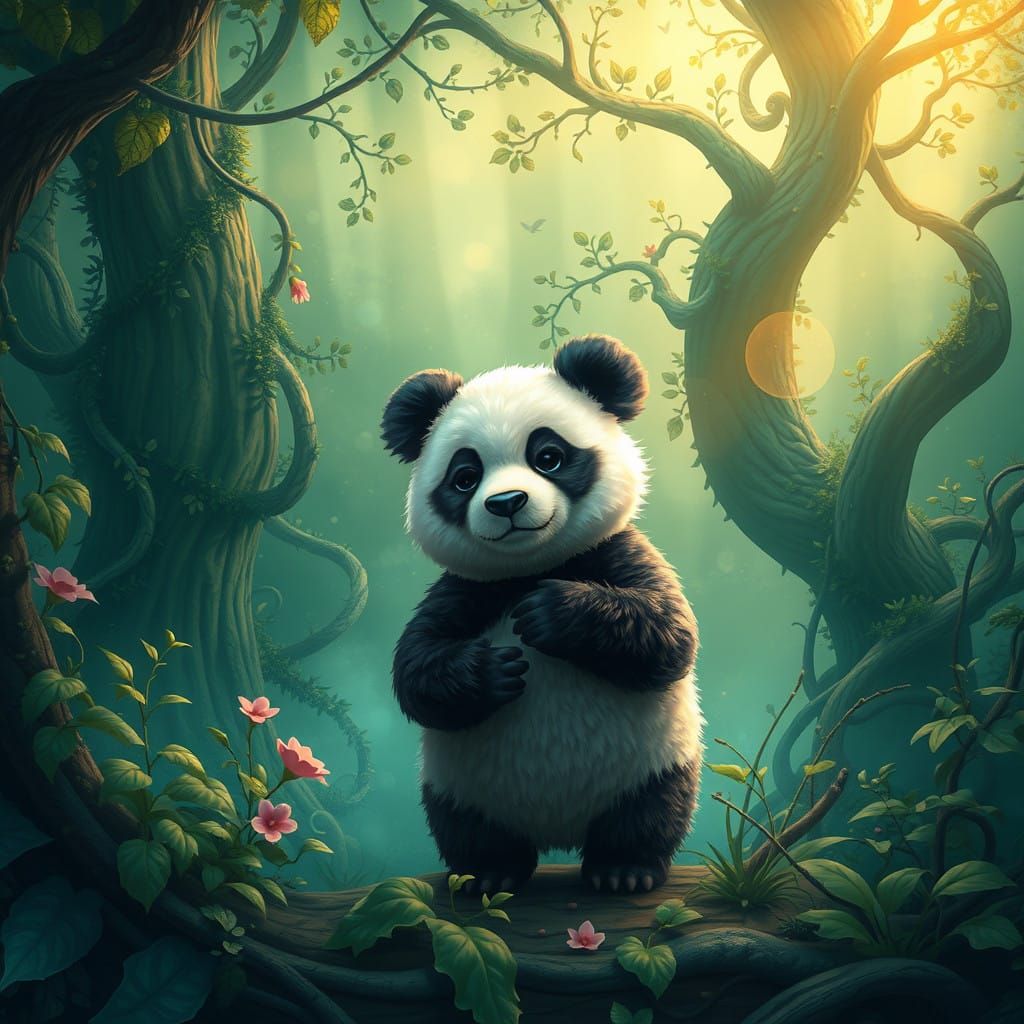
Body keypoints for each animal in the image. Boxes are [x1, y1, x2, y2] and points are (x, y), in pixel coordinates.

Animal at [381, 335, 702, 895]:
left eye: (548, 456)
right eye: (465, 477)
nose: (507, 501)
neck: (532, 565)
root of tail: (559, 834)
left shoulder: (617, 552)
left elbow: (668, 632)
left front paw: (550, 614)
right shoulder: (467, 590)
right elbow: (417, 669)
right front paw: (496, 670)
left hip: (657, 762)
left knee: (652, 810)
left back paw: (624, 868)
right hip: (461, 787)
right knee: (466, 825)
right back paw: (490, 873)